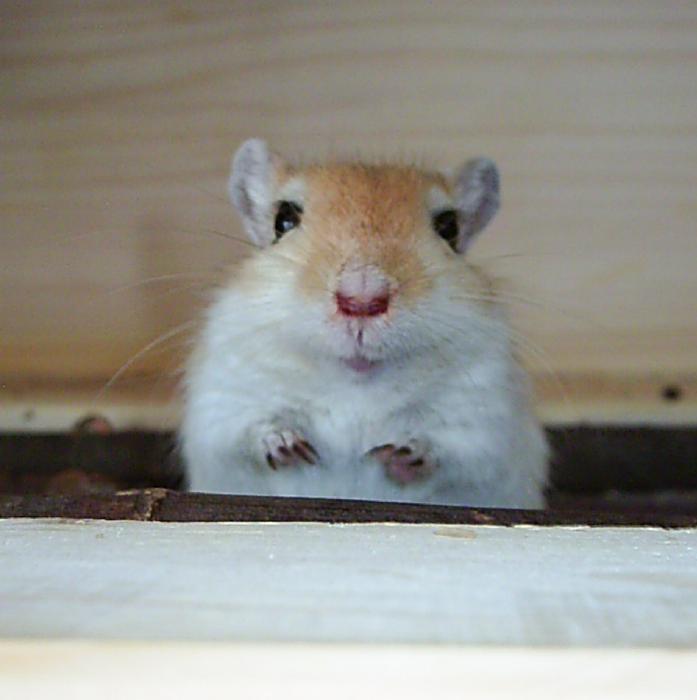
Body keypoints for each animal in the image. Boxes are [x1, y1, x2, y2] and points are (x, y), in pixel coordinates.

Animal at [180, 139, 549, 508]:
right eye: (283, 221)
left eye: (449, 228)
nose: (361, 299)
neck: (355, 381)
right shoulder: (222, 408)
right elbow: (249, 431)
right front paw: (290, 446)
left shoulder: (484, 424)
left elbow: (451, 449)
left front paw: (401, 452)